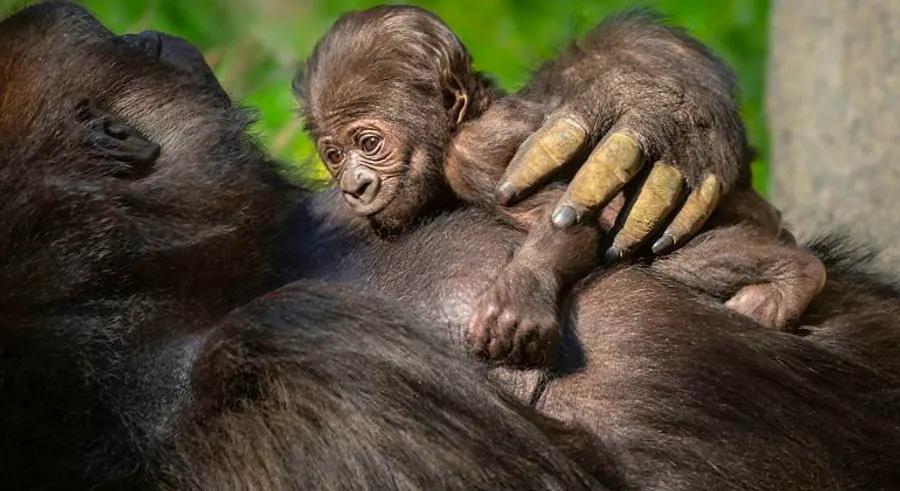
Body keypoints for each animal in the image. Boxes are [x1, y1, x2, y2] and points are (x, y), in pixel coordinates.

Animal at [298, 5, 828, 368]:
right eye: (334, 155)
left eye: (369, 142)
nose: (355, 186)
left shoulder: (475, 156)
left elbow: (577, 217)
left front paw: (522, 293)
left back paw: (795, 274)